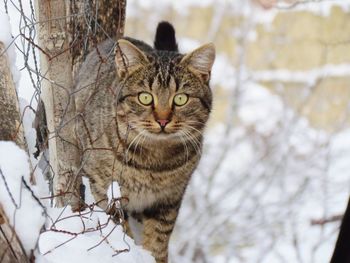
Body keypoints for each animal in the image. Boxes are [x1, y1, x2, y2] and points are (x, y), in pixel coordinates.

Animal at [71, 21, 215, 262]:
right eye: (145, 97)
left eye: (180, 98)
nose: (163, 120)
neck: (154, 162)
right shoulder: (104, 189)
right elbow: (119, 228)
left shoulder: (168, 200)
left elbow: (158, 239)